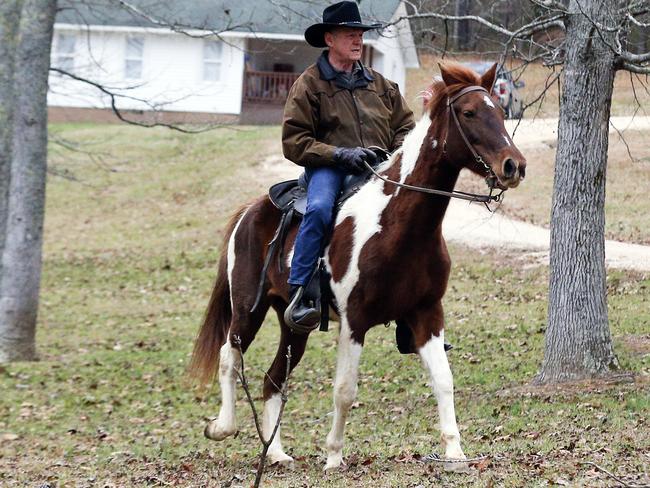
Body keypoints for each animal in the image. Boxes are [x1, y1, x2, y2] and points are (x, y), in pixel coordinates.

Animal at [189, 62, 528, 468]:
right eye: (469, 112)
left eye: (500, 111)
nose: (514, 165)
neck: (398, 226)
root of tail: (250, 211)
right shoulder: (355, 320)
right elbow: (345, 389)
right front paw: (334, 456)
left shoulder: (427, 314)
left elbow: (444, 381)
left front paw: (455, 451)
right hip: (246, 310)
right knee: (230, 357)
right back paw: (222, 427)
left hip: (294, 326)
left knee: (273, 379)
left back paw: (277, 453)